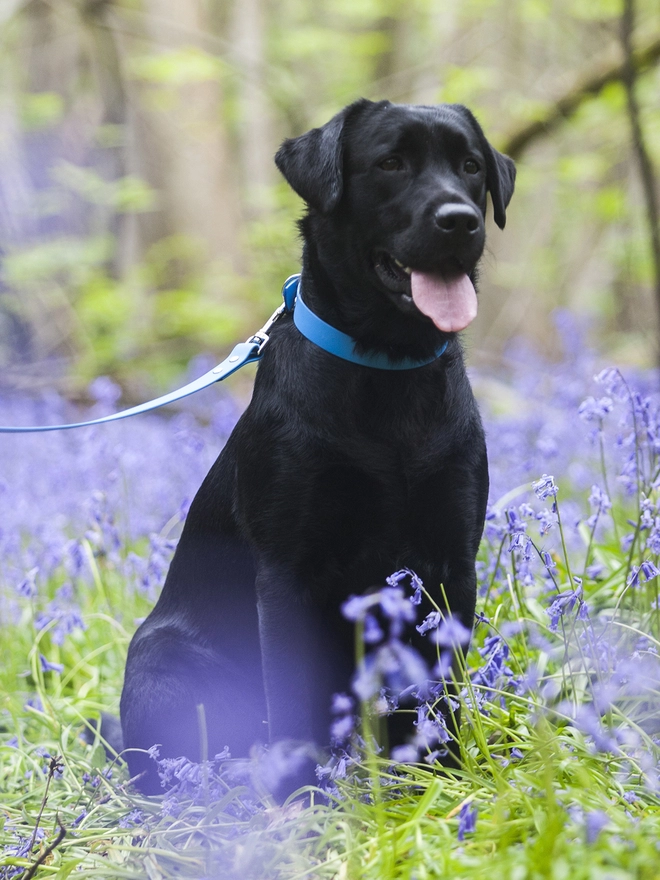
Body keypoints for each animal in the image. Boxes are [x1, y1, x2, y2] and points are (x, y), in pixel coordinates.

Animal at [118, 99, 516, 796]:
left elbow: (435, 695)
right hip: (160, 657)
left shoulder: (449, 561)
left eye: (470, 165)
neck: (389, 370)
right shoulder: (289, 567)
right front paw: (300, 798)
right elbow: (293, 697)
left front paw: (435, 782)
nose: (460, 220)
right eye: (391, 162)